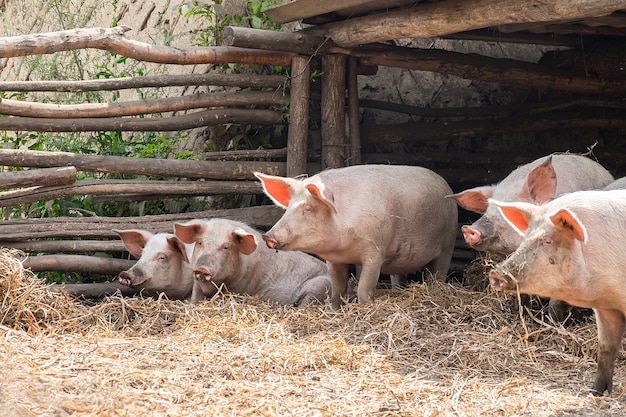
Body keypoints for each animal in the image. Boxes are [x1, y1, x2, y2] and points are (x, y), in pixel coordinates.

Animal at [171, 218, 332, 306]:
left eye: (226, 247)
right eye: (199, 243)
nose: (202, 268)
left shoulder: (239, 287)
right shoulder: (197, 285)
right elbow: (194, 298)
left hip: (320, 285)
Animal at [255, 164, 458, 308]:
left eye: (308, 208)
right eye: (288, 207)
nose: (268, 236)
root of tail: (445, 183)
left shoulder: (375, 252)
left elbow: (364, 288)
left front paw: (364, 307)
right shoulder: (334, 260)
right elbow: (337, 287)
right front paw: (334, 309)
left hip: (448, 240)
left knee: (439, 272)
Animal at [488, 190, 626, 394]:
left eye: (547, 240)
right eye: (524, 238)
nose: (496, 274)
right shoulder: (607, 308)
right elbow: (606, 349)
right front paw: (594, 393)